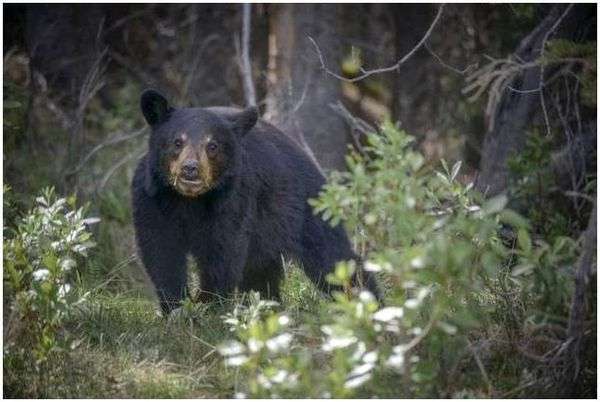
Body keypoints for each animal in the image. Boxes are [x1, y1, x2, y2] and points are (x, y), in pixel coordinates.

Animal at [134, 89, 382, 312]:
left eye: (212, 146)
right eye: (177, 142)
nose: (190, 169)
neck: (190, 200)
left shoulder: (234, 202)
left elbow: (223, 252)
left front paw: (208, 305)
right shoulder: (152, 200)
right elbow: (161, 252)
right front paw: (176, 308)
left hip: (303, 209)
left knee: (332, 257)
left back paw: (369, 301)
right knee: (261, 273)